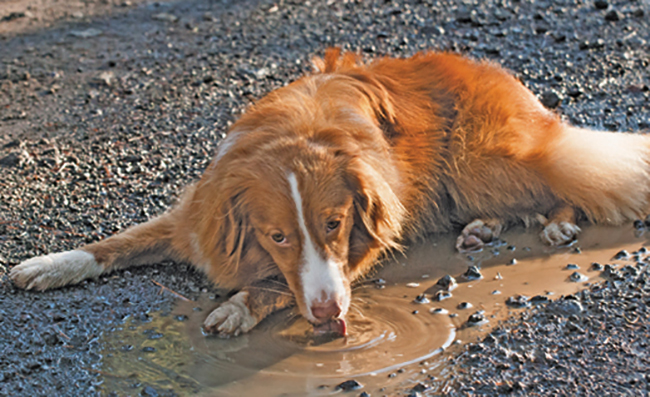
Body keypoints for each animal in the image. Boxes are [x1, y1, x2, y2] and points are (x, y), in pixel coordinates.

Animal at [10, 48, 648, 336]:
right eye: (276, 236)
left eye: (335, 225)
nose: (328, 316)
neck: (296, 133)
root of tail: (495, 71)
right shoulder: (194, 217)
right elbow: (117, 241)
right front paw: (50, 264)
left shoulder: (367, 241)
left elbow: (276, 287)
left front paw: (238, 307)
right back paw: (480, 229)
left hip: (481, 160)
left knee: (559, 177)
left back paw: (558, 221)